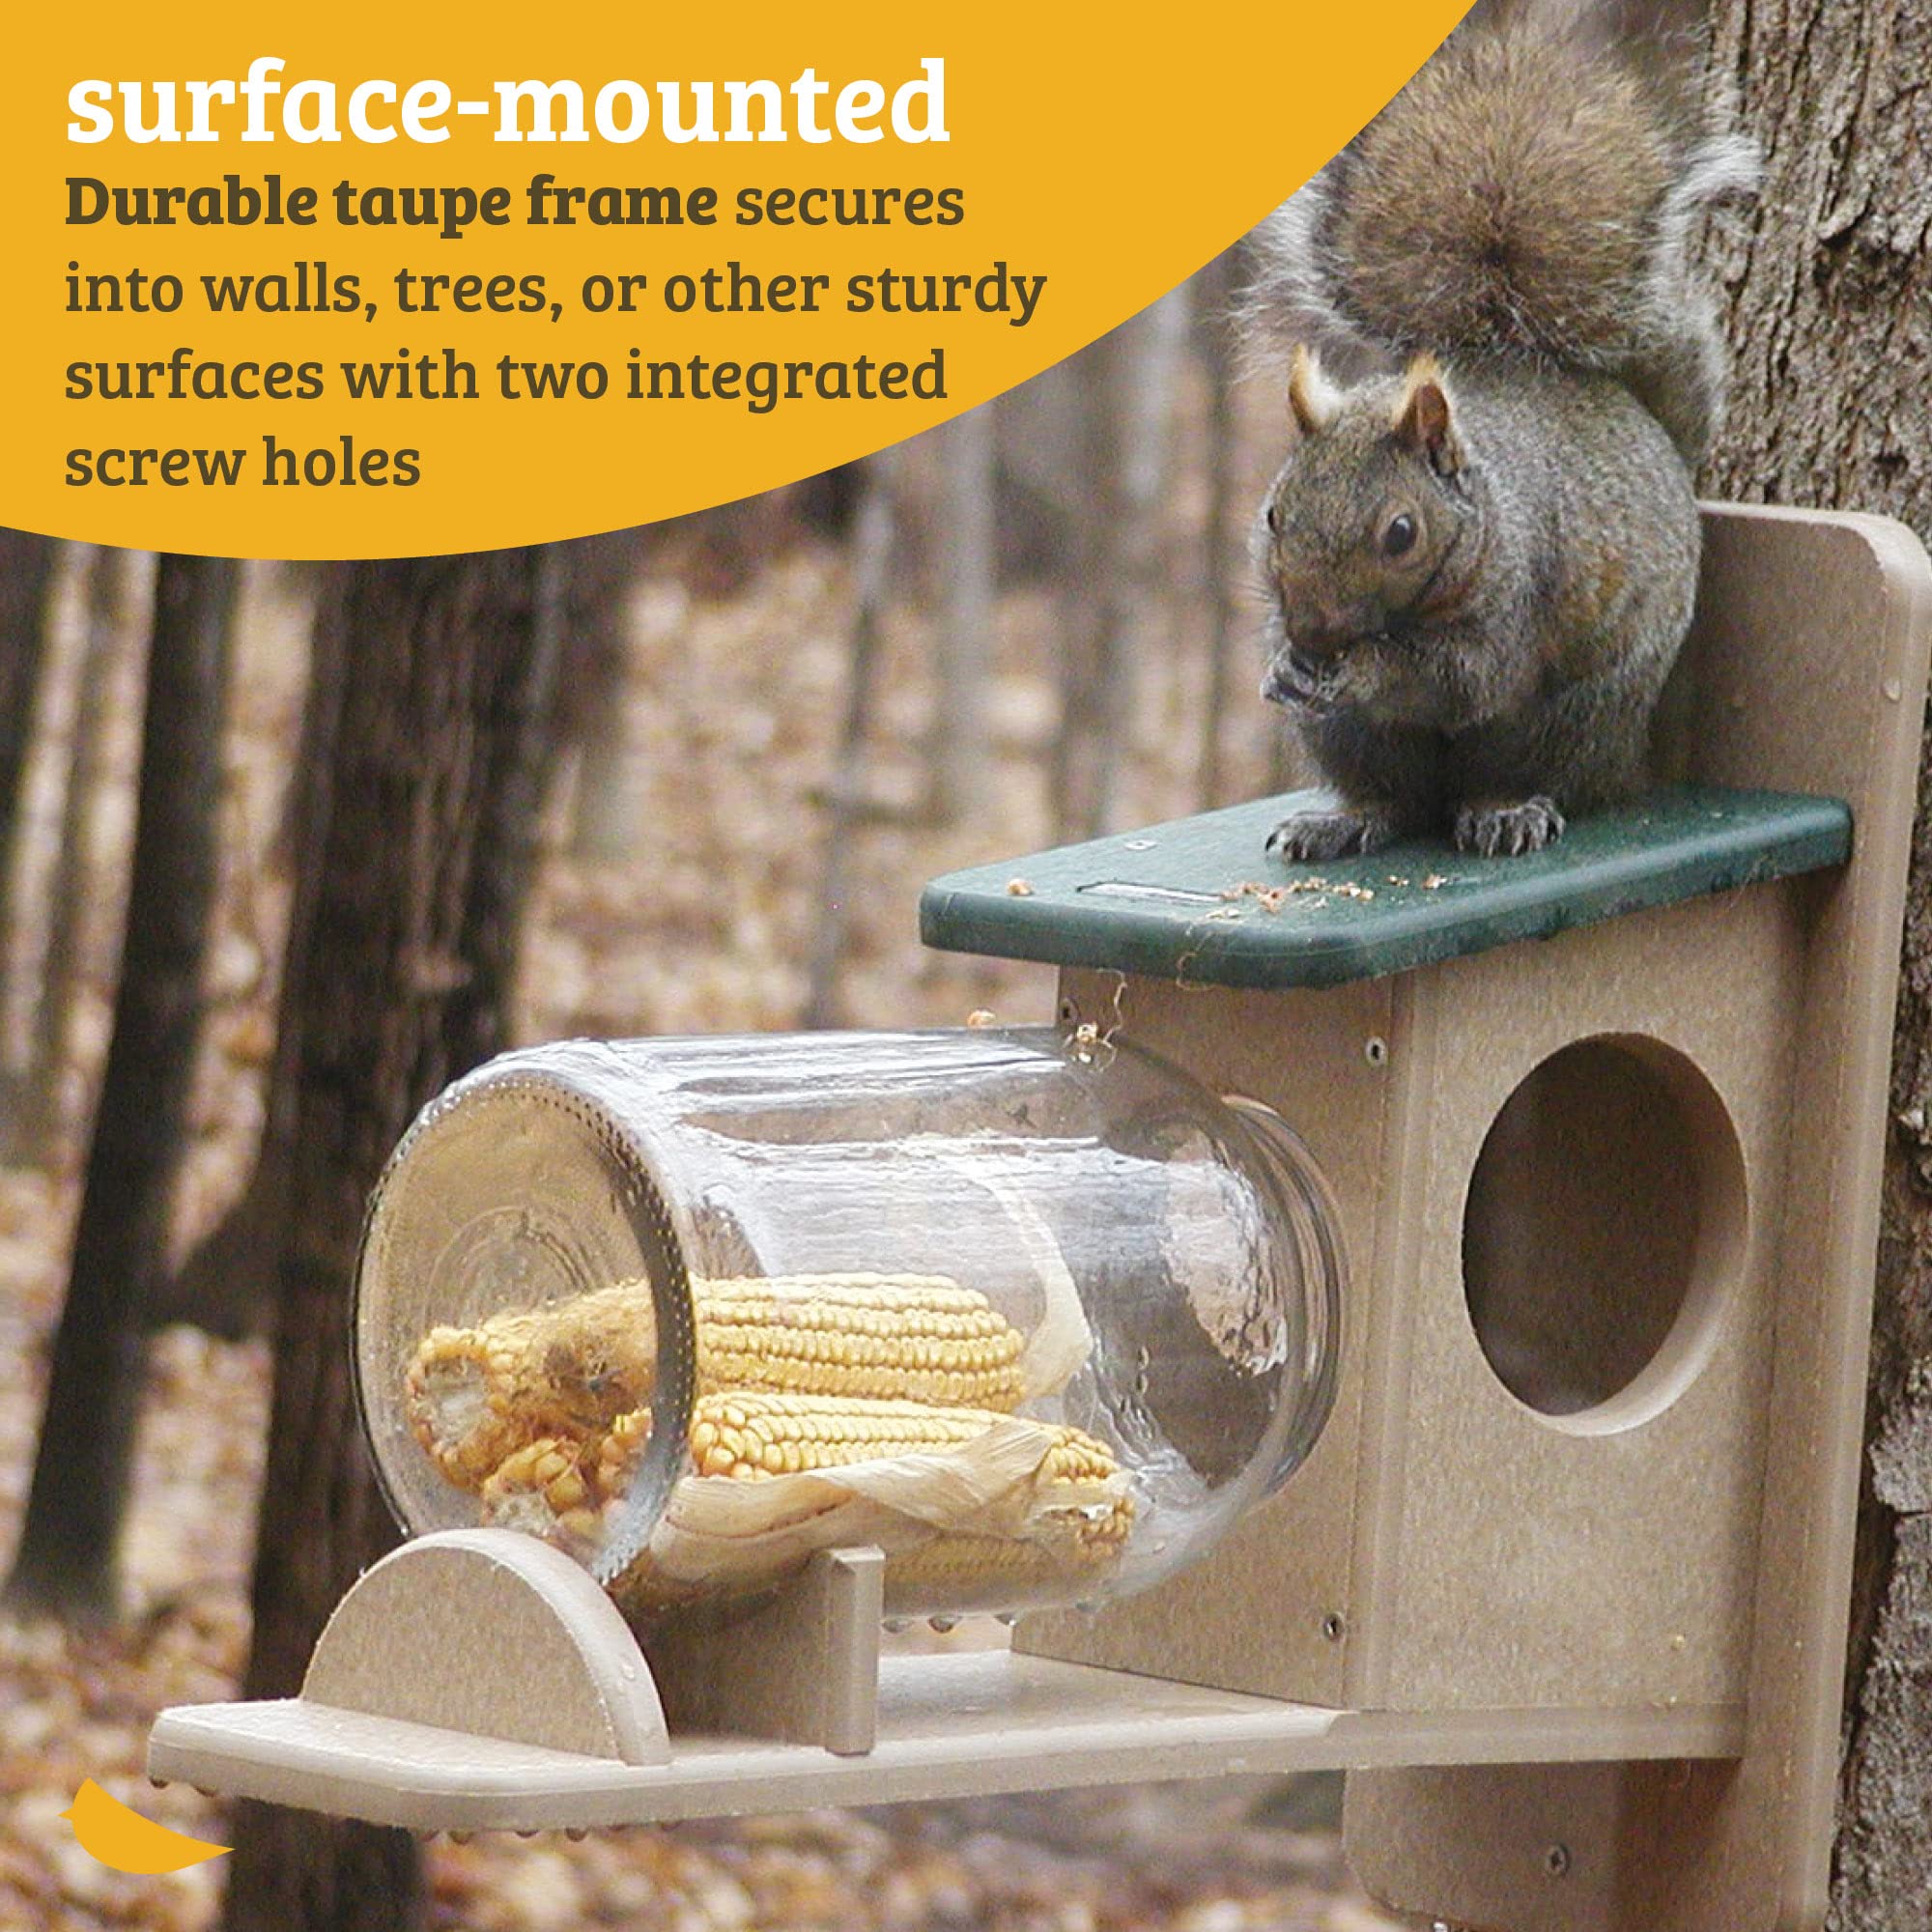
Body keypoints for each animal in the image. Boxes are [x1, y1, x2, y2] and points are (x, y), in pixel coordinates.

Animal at [1246, 1, 1755, 860]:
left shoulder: (1513, 599)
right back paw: (1343, 819)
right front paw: (1282, 667)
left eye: (1402, 533)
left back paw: (1506, 810)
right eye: (1274, 514)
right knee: (1394, 798)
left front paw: (1365, 669)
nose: (1313, 638)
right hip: (1351, 740)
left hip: (1573, 716)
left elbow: (1457, 678)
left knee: (1524, 772)